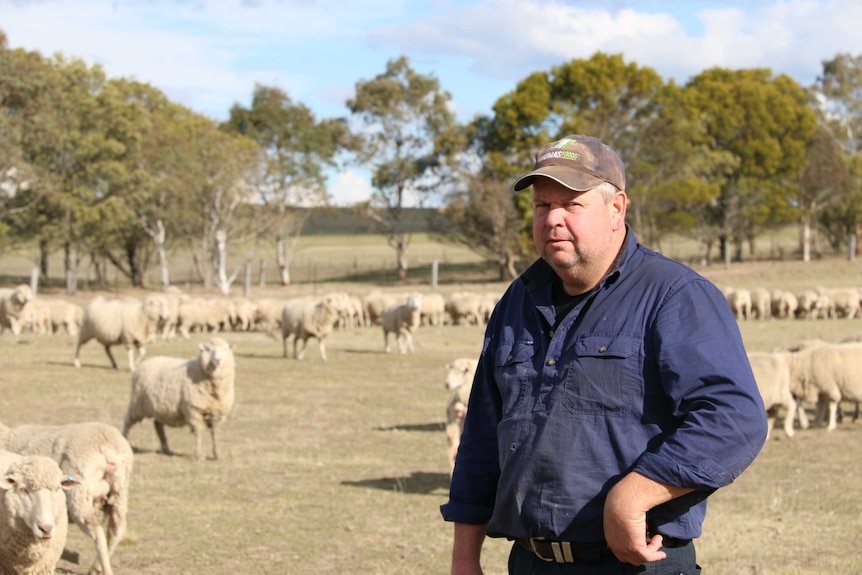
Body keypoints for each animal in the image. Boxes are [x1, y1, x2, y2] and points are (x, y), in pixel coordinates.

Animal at [0, 420, 134, 575]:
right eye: (23, 490)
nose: (45, 528)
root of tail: (108, 449)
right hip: (119, 492)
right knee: (116, 528)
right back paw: (97, 566)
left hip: (80, 494)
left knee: (97, 530)